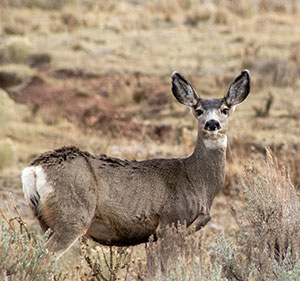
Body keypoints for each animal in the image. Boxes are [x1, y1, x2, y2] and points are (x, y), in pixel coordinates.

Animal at [21, 69, 251, 258]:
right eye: (199, 110)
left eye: (225, 109)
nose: (212, 124)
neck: (197, 180)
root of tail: (33, 169)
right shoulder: (170, 223)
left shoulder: (159, 234)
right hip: (72, 216)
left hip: (46, 221)